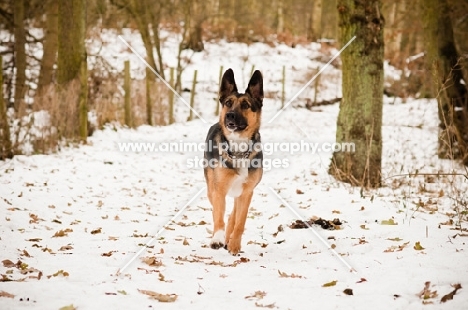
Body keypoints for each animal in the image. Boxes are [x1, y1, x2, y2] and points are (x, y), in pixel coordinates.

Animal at [204, 68, 266, 254]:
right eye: (228, 103)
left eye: (245, 105)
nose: (230, 115)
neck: (238, 150)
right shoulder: (218, 190)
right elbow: (218, 216)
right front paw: (217, 238)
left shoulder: (247, 193)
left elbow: (240, 221)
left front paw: (234, 244)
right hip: (210, 188)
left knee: (233, 213)